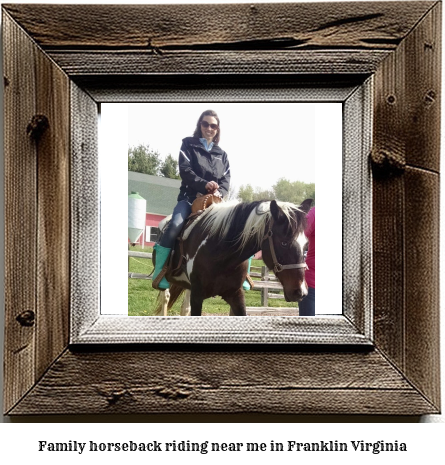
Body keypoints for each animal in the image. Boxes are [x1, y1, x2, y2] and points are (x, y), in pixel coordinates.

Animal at [154, 198, 310, 316]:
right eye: (284, 243)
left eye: (306, 245)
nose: (301, 292)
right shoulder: (197, 296)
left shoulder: (235, 295)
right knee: (165, 299)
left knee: (184, 308)